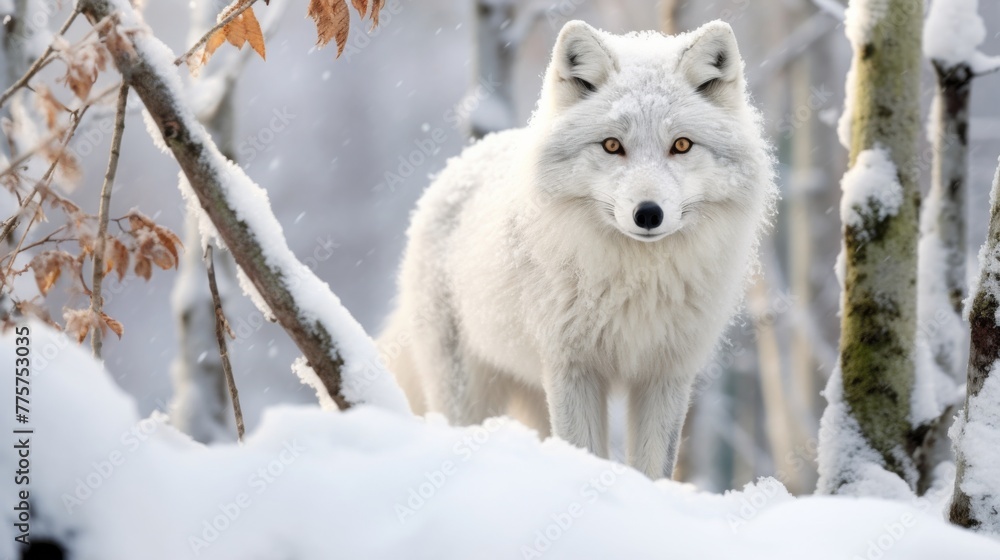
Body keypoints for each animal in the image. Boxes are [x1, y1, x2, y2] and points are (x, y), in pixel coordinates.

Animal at [379, 19, 776, 479]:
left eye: (681, 145)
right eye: (611, 145)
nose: (648, 214)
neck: (637, 283)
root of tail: (463, 162)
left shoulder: (666, 374)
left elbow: (654, 468)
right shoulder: (572, 369)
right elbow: (586, 450)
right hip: (470, 391)